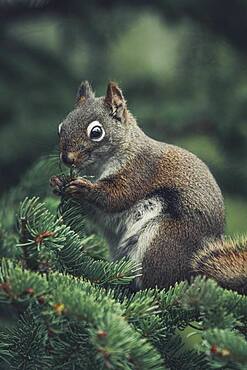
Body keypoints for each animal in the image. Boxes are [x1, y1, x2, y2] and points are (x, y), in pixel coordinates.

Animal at [50, 81, 247, 294]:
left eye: (96, 132)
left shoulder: (139, 171)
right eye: (61, 127)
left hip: (162, 241)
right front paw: (57, 182)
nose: (67, 158)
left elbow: (116, 197)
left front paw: (85, 189)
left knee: (158, 285)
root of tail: (193, 276)